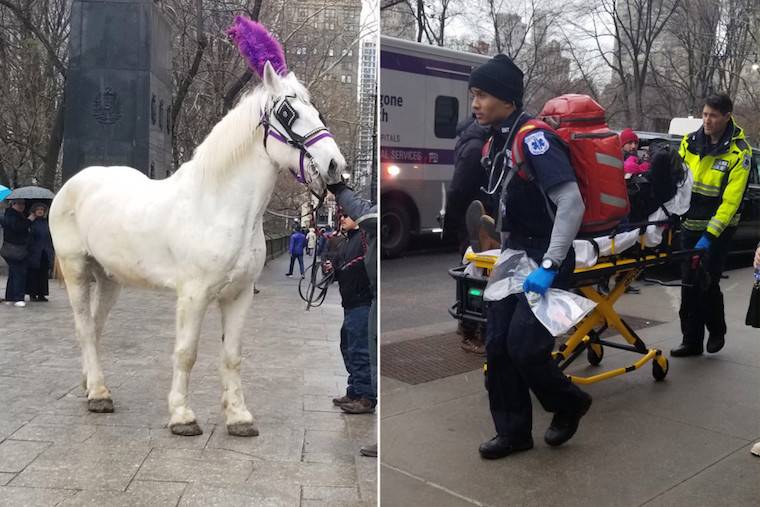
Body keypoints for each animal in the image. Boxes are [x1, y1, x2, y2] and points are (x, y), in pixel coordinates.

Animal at [49, 58, 346, 437]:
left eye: (316, 110)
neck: (218, 205)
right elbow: (186, 352)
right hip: (75, 269)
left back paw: (92, 385)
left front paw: (239, 417)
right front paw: (182, 415)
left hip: (109, 277)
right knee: (85, 328)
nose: (335, 165)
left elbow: (232, 355)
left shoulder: (239, 295)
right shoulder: (194, 294)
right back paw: (99, 395)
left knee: (96, 327)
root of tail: (72, 184)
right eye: (287, 112)